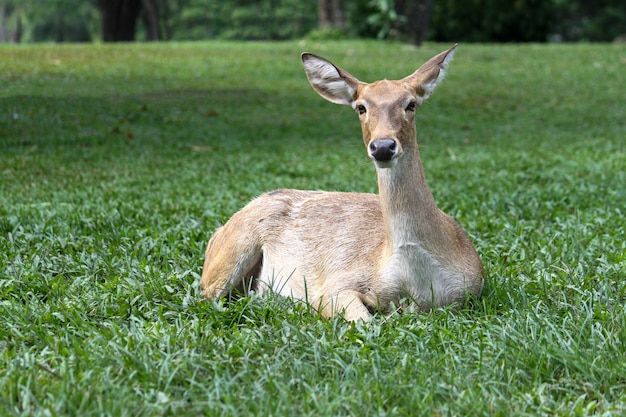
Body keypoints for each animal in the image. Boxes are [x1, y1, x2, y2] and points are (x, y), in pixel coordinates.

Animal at [201, 44, 482, 322]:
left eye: (411, 104)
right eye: (361, 107)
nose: (383, 147)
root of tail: (217, 232)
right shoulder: (335, 285)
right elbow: (363, 321)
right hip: (231, 253)